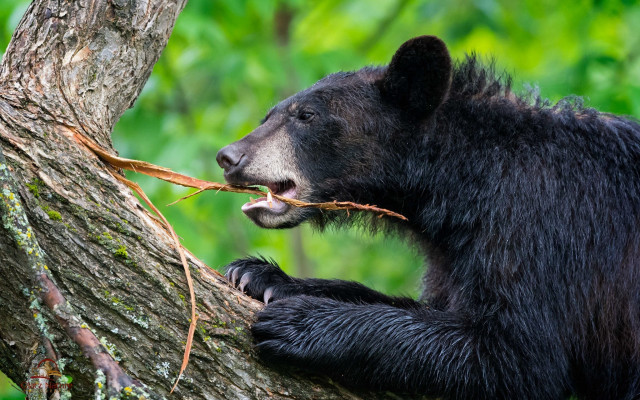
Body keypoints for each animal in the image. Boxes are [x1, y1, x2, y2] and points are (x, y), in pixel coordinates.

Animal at [215, 36, 640, 399]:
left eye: (306, 115)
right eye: (268, 115)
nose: (229, 157)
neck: (464, 175)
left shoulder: (536, 221)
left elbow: (517, 354)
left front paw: (300, 322)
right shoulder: (454, 250)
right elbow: (433, 305)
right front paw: (262, 276)